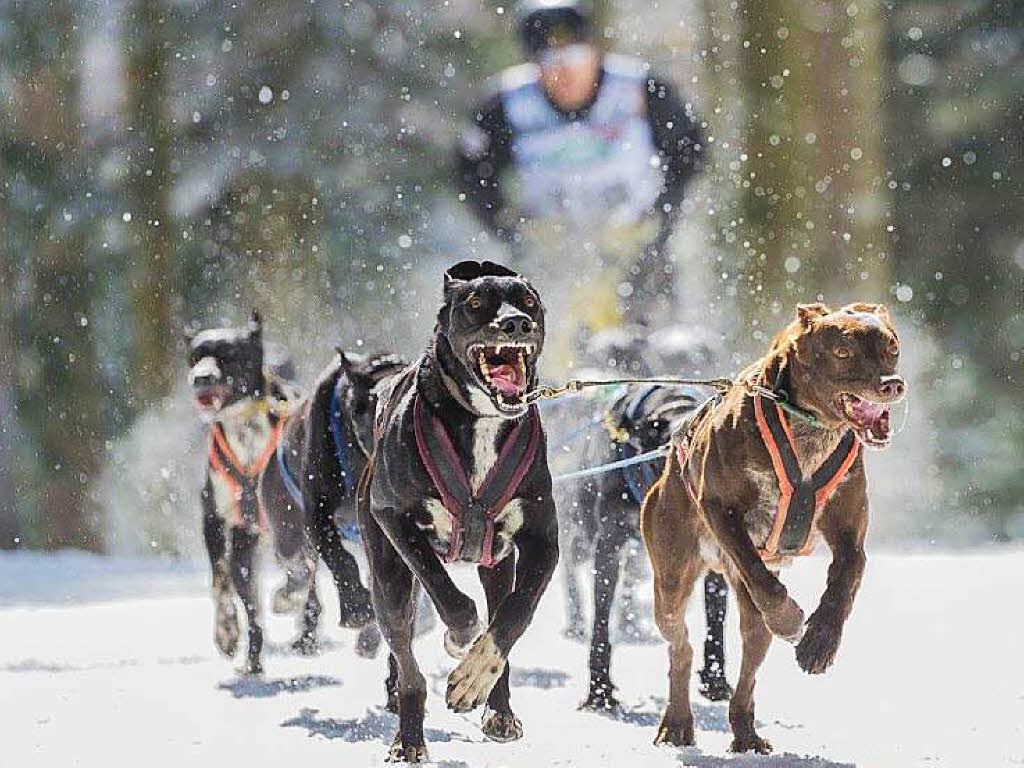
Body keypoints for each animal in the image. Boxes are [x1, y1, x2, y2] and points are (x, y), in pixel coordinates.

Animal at [184, 311, 311, 671]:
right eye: (195, 357)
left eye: (228, 355)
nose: (201, 378)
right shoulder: (216, 521)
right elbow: (221, 580)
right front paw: (226, 631)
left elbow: (300, 572)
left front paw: (290, 597)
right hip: (245, 544)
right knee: (250, 603)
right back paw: (254, 657)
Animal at [354, 260, 561, 765]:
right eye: (475, 304)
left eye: (529, 302)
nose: (515, 324)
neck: (481, 421)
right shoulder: (395, 518)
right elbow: (447, 595)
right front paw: (459, 635)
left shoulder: (542, 539)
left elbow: (516, 614)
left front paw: (474, 675)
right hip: (387, 576)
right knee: (407, 662)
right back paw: (409, 738)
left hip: (497, 566)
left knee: (501, 612)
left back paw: (498, 710)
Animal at [643, 303, 909, 753]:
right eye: (843, 351)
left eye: (891, 348)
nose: (891, 385)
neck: (811, 429)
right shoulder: (720, 510)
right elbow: (757, 571)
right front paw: (789, 618)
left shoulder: (850, 538)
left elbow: (844, 584)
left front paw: (819, 643)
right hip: (671, 581)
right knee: (681, 647)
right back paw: (677, 721)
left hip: (746, 623)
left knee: (748, 670)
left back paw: (745, 732)